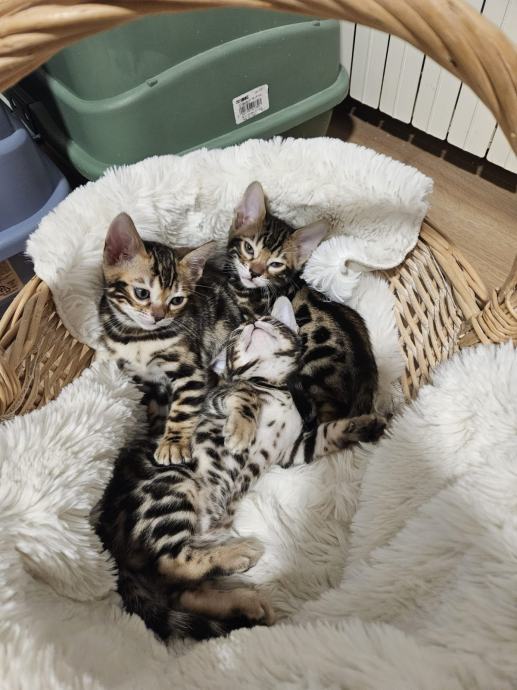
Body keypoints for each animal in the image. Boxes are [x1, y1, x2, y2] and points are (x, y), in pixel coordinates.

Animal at [96, 297, 383, 642]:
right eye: (235, 336)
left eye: (272, 322)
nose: (254, 322)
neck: (275, 386)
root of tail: (109, 541)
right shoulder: (219, 397)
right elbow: (244, 393)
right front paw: (241, 431)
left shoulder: (294, 449)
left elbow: (329, 432)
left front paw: (366, 425)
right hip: (171, 488)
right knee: (171, 561)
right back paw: (240, 556)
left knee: (181, 591)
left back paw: (245, 604)